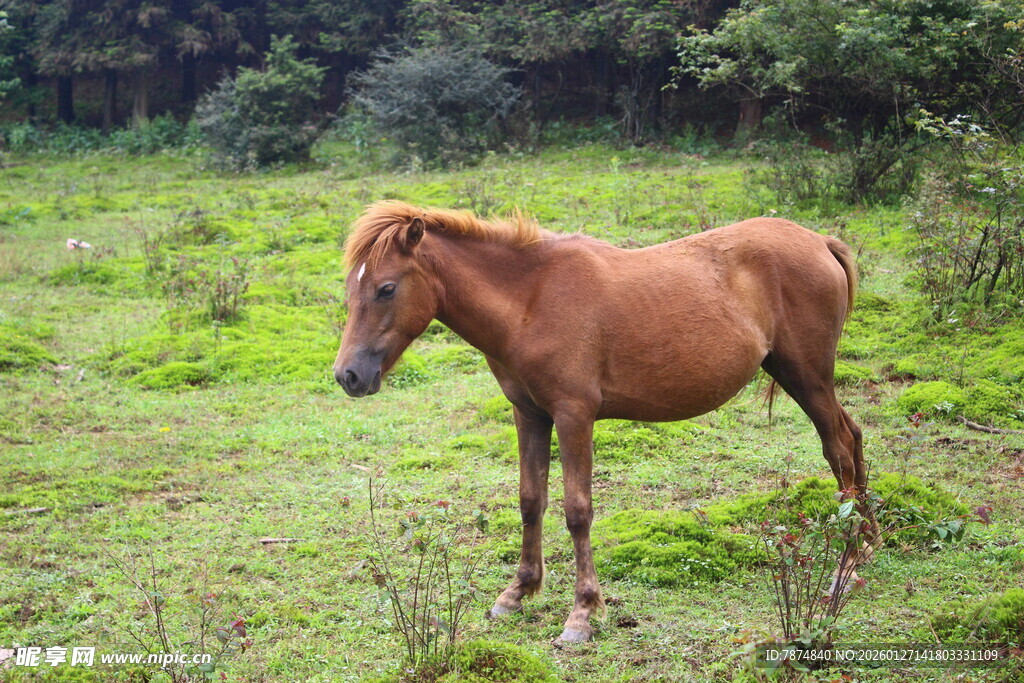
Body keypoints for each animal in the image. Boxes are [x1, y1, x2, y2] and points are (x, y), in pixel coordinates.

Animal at [334, 200, 873, 644]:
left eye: (386, 289)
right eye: (350, 289)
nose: (348, 376)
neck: (531, 301)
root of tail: (819, 241)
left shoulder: (574, 416)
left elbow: (577, 511)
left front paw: (583, 614)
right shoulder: (529, 415)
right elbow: (530, 501)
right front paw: (517, 592)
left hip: (807, 376)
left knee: (839, 449)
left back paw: (844, 567)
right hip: (799, 376)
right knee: (853, 437)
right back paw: (865, 545)